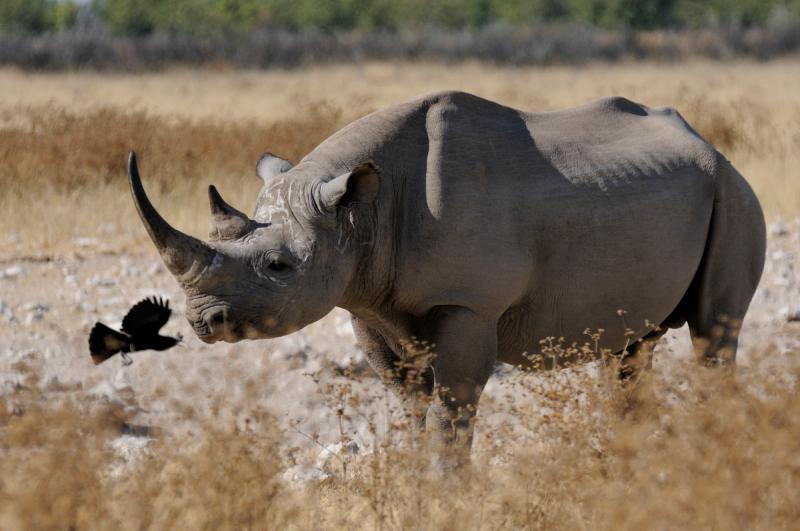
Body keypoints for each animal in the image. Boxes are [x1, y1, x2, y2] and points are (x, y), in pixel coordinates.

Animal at [129, 91, 766, 460]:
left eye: (279, 267)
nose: (202, 321)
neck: (360, 213)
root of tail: (709, 143)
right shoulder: (367, 302)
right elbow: (411, 407)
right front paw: (416, 489)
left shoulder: (468, 303)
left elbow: (451, 408)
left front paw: (446, 496)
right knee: (631, 350)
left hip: (733, 192)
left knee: (714, 334)